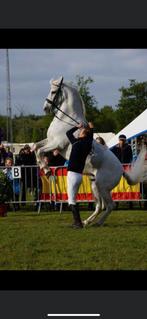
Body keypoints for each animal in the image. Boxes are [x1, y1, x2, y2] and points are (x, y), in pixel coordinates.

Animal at [34, 76, 146, 228]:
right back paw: (87, 221)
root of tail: (121, 170)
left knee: (110, 206)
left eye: (53, 91)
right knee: (100, 206)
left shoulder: (56, 144)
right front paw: (43, 167)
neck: (67, 121)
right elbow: (35, 146)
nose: (45, 108)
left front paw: (46, 171)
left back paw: (98, 222)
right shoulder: (50, 141)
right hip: (94, 185)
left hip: (102, 187)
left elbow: (40, 150)